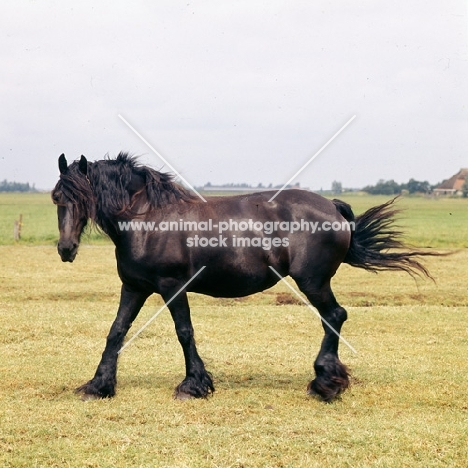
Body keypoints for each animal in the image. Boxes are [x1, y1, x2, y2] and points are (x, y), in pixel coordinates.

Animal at [52, 154, 436, 402]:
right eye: (57, 198)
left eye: (81, 197)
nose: (66, 249)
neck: (148, 219)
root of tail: (332, 207)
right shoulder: (134, 287)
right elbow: (116, 332)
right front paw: (98, 385)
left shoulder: (172, 287)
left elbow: (184, 332)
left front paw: (193, 386)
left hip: (313, 283)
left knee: (334, 316)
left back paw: (325, 383)